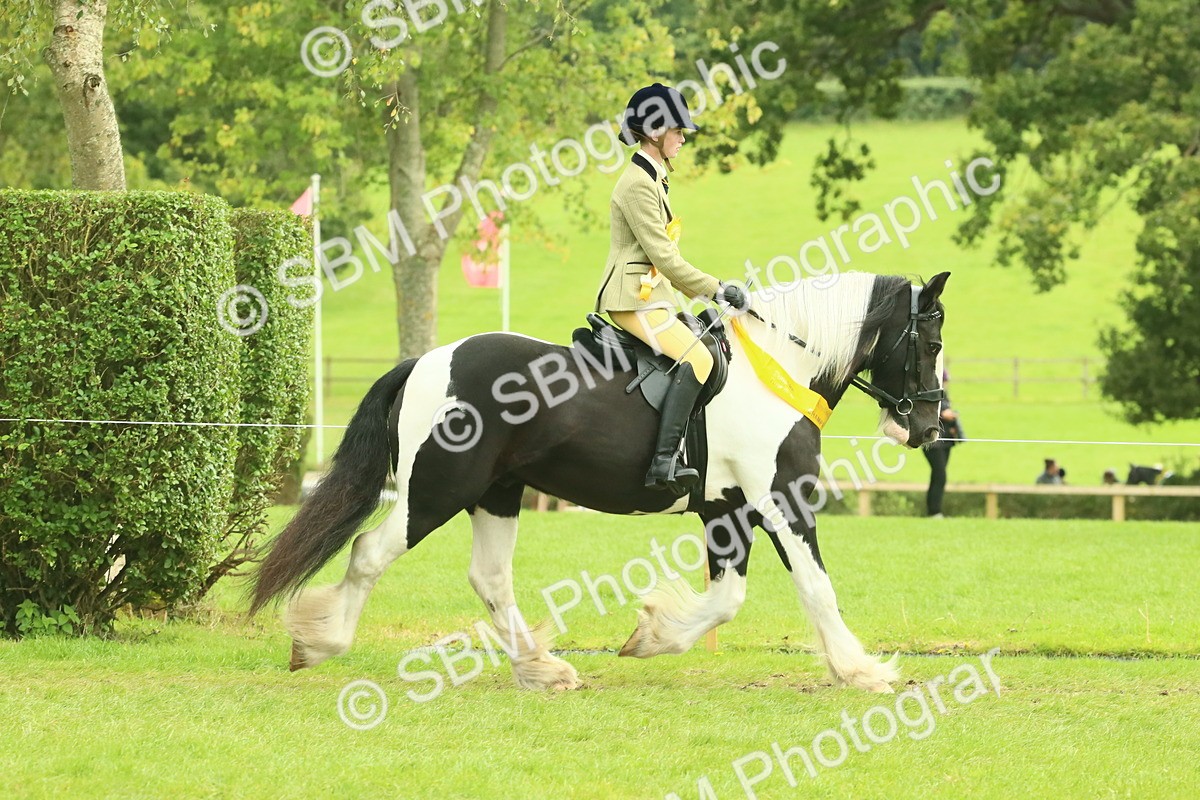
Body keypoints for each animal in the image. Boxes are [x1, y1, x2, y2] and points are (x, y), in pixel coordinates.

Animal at [250, 270, 949, 694]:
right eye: (932, 343)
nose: (928, 426)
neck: (779, 367)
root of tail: (426, 360)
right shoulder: (779, 498)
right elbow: (815, 586)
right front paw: (861, 670)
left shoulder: (726, 512)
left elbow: (726, 598)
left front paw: (651, 636)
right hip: (436, 490)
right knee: (371, 552)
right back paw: (320, 643)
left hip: (497, 493)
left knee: (490, 577)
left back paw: (541, 668)